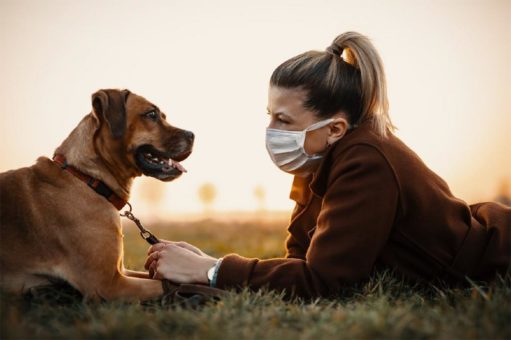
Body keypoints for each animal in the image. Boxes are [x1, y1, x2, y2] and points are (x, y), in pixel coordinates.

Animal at [0, 88, 194, 300]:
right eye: (151, 114)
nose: (192, 134)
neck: (88, 179)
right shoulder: (108, 285)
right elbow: (169, 284)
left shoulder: (122, 271)